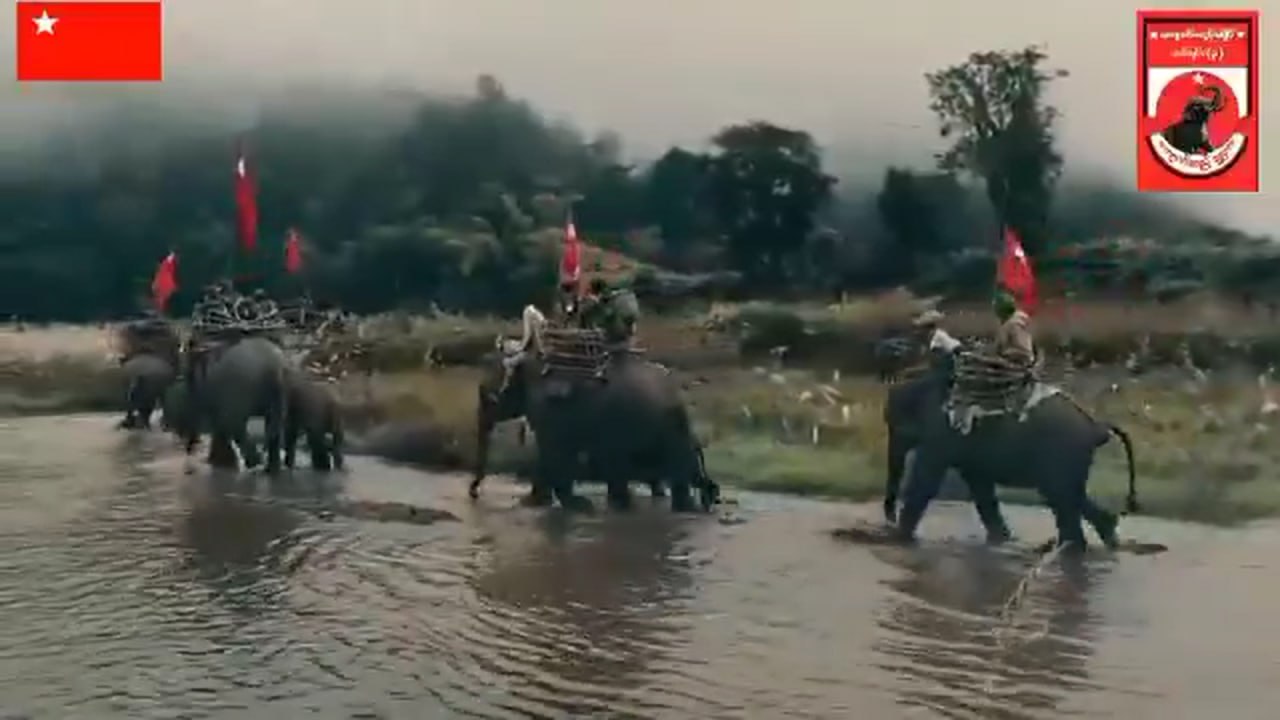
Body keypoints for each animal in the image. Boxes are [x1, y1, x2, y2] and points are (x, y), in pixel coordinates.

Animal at [182, 336, 290, 474]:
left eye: (188, 377)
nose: (189, 450)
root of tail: (272, 367)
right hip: (281, 389)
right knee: (274, 422)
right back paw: (270, 468)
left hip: (242, 384)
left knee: (236, 423)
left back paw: (254, 463)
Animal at [883, 352, 1138, 552]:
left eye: (898, 427)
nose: (889, 520)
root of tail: (1095, 426)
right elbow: (980, 486)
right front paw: (1002, 540)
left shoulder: (942, 432)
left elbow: (926, 481)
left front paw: (899, 539)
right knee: (1070, 498)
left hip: (1063, 452)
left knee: (1062, 499)